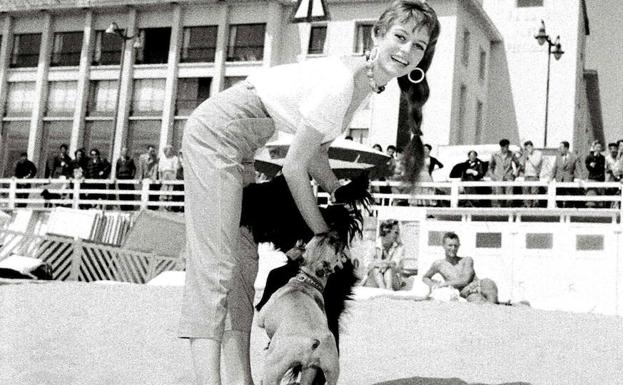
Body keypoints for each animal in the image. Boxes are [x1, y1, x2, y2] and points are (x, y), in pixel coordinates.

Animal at [258, 231, 348, 384]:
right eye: (321, 236)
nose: (337, 233)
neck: (308, 281)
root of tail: (311, 342)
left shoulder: (261, 318)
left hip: (272, 369)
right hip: (321, 370)